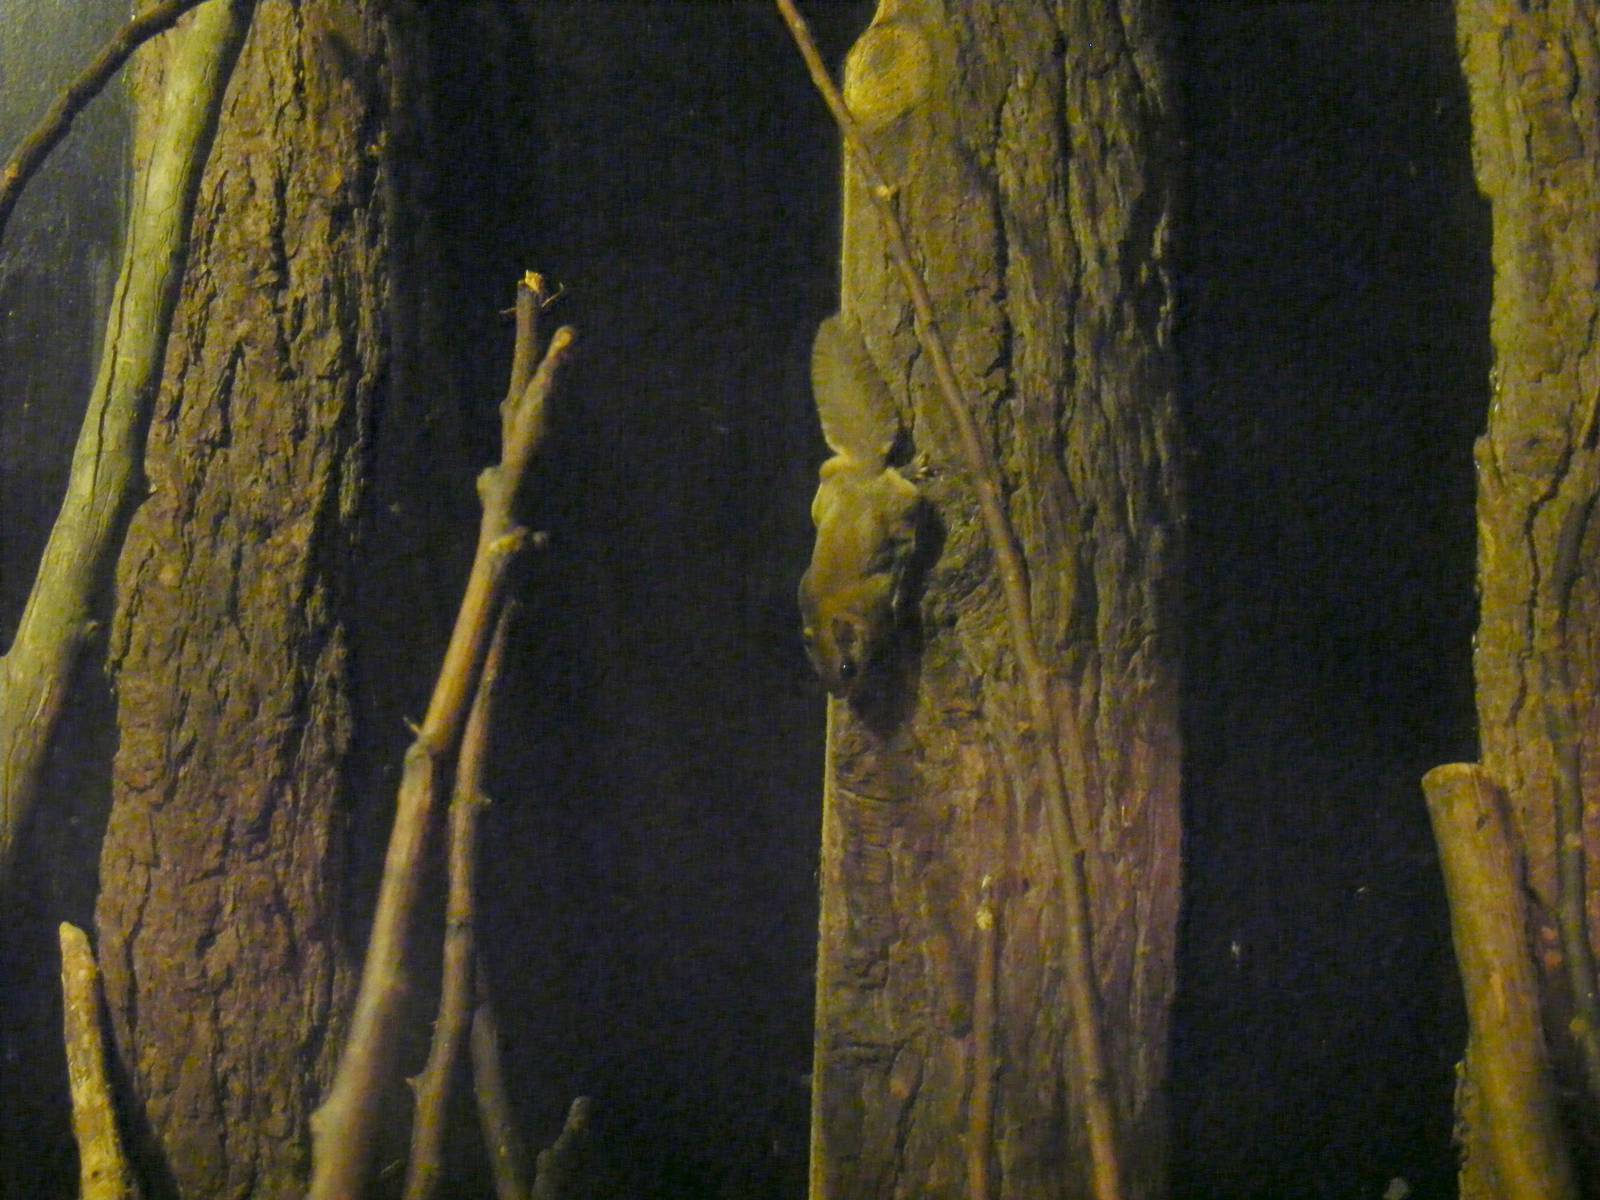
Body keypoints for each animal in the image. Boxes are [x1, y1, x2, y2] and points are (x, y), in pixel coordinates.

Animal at [799, 312, 924, 697]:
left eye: (846, 667)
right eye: (818, 672)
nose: (840, 695)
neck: (828, 607)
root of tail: (863, 465)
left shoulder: (877, 598)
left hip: (902, 503)